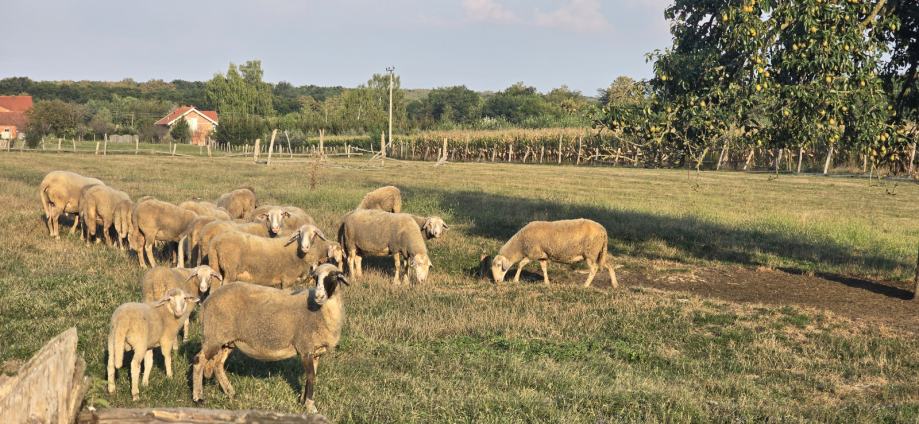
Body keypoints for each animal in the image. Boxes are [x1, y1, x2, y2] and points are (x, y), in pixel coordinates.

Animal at [192, 264, 349, 414]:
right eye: (316, 278)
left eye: (333, 277)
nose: (319, 296)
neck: (320, 312)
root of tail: (207, 302)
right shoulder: (305, 347)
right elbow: (311, 377)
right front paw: (311, 407)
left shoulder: (315, 352)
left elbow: (310, 377)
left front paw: (303, 401)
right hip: (213, 337)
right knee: (199, 361)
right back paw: (198, 397)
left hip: (226, 341)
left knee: (217, 365)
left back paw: (231, 393)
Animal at [207, 224, 336, 288]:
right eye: (299, 234)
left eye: (314, 234)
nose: (305, 247)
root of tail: (215, 241)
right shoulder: (288, 279)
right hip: (230, 270)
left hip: (215, 265)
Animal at [490, 219, 618, 288]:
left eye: (498, 265)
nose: (496, 282)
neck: (520, 244)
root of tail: (603, 230)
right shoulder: (542, 255)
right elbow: (543, 268)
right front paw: (546, 282)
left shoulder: (533, 253)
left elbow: (521, 264)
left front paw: (515, 280)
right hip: (599, 252)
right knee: (608, 265)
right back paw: (615, 284)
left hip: (590, 253)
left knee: (594, 269)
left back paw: (585, 285)